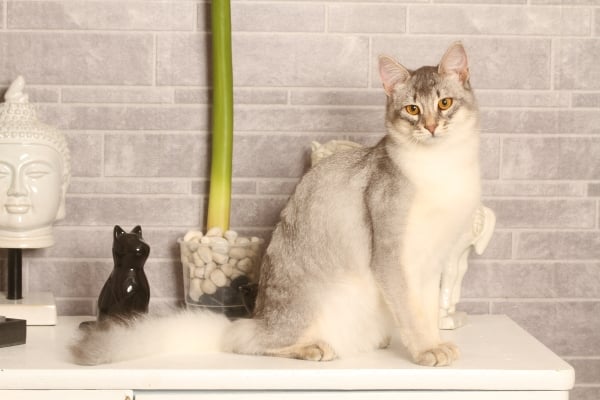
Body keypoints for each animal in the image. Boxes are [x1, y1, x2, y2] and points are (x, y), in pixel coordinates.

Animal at [71, 42, 482, 368]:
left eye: (444, 103)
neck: (440, 168)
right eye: (412, 110)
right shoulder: (392, 255)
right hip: (304, 308)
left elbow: (425, 309)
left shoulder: (431, 261)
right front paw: (427, 350)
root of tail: (258, 317)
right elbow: (413, 314)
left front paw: (435, 342)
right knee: (243, 341)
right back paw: (313, 348)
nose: (431, 127)